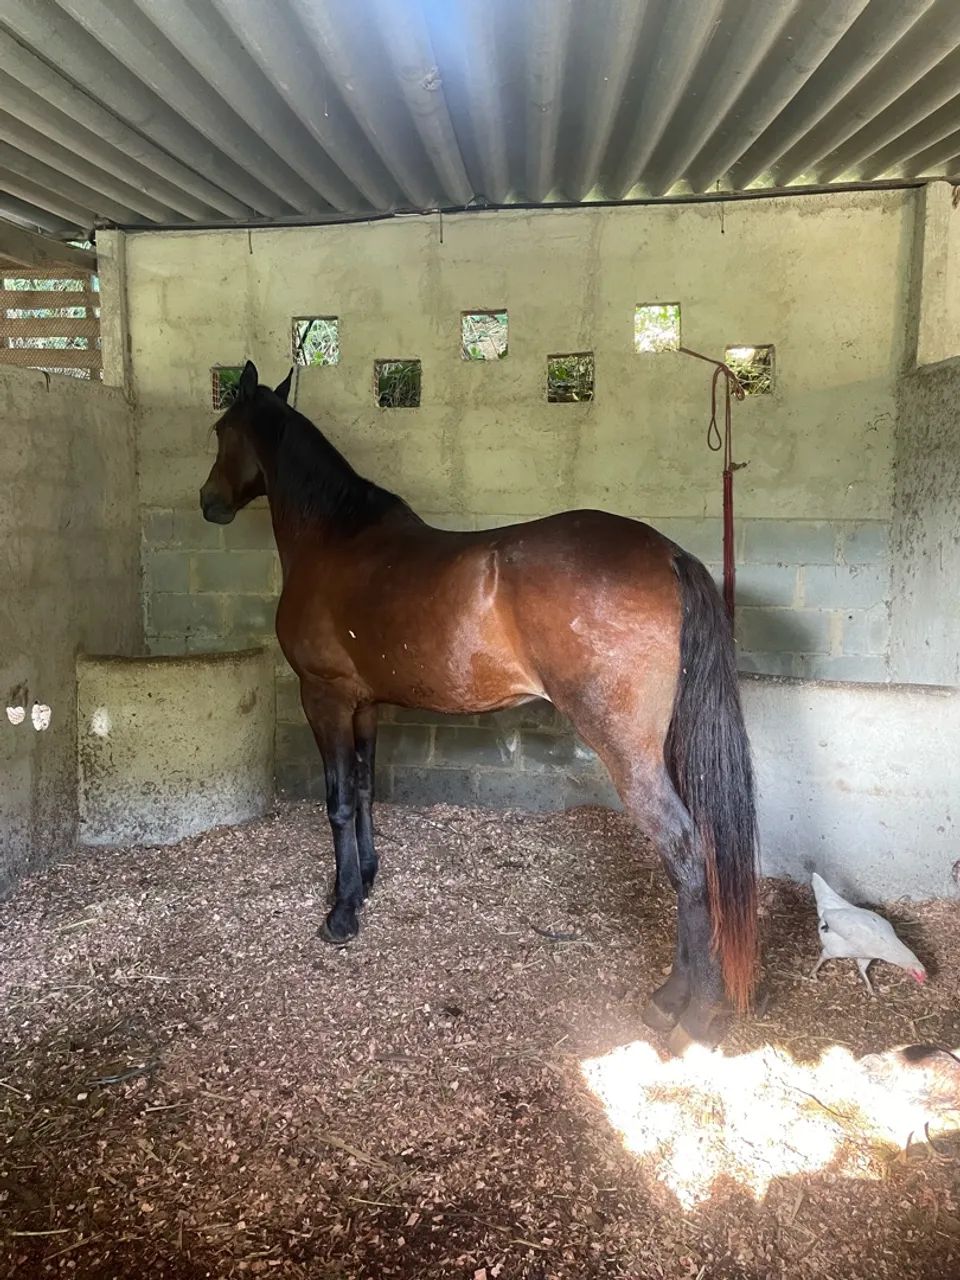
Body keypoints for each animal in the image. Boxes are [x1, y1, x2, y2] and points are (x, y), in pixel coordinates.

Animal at [199, 360, 758, 1052]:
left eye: (221, 430)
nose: (208, 502)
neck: (333, 537)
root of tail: (668, 555)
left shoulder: (323, 695)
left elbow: (336, 802)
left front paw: (341, 912)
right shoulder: (365, 704)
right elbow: (364, 788)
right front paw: (365, 879)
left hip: (627, 751)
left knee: (684, 851)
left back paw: (692, 1010)